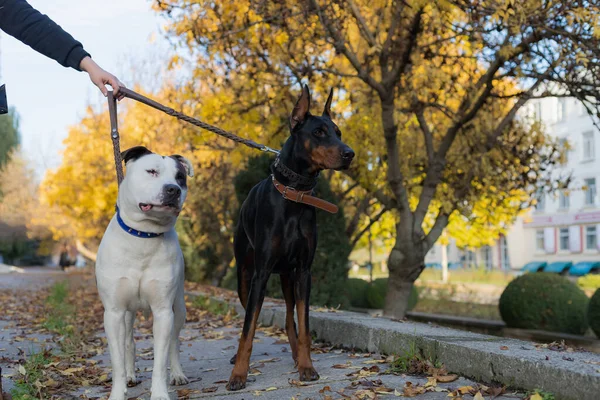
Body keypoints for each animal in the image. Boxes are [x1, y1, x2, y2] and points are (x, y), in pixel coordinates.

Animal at [96, 147, 193, 400]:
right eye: (151, 171)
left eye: (180, 177)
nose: (173, 189)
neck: (144, 235)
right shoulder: (113, 313)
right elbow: (117, 361)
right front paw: (118, 392)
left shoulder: (163, 312)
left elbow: (160, 360)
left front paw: (159, 393)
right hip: (127, 315)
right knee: (129, 342)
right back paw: (131, 375)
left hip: (179, 308)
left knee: (174, 342)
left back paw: (177, 374)